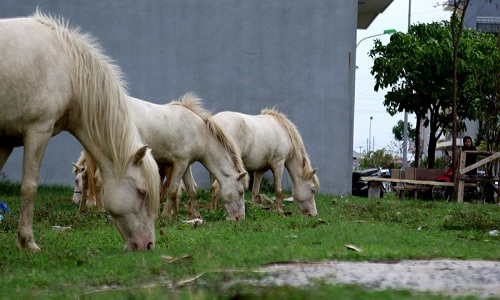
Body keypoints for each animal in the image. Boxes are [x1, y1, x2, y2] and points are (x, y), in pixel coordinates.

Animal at [0, 10, 160, 252]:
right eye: (142, 192)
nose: (148, 245)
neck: (68, 68)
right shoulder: (38, 131)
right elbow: (29, 186)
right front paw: (27, 242)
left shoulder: (5, 142)